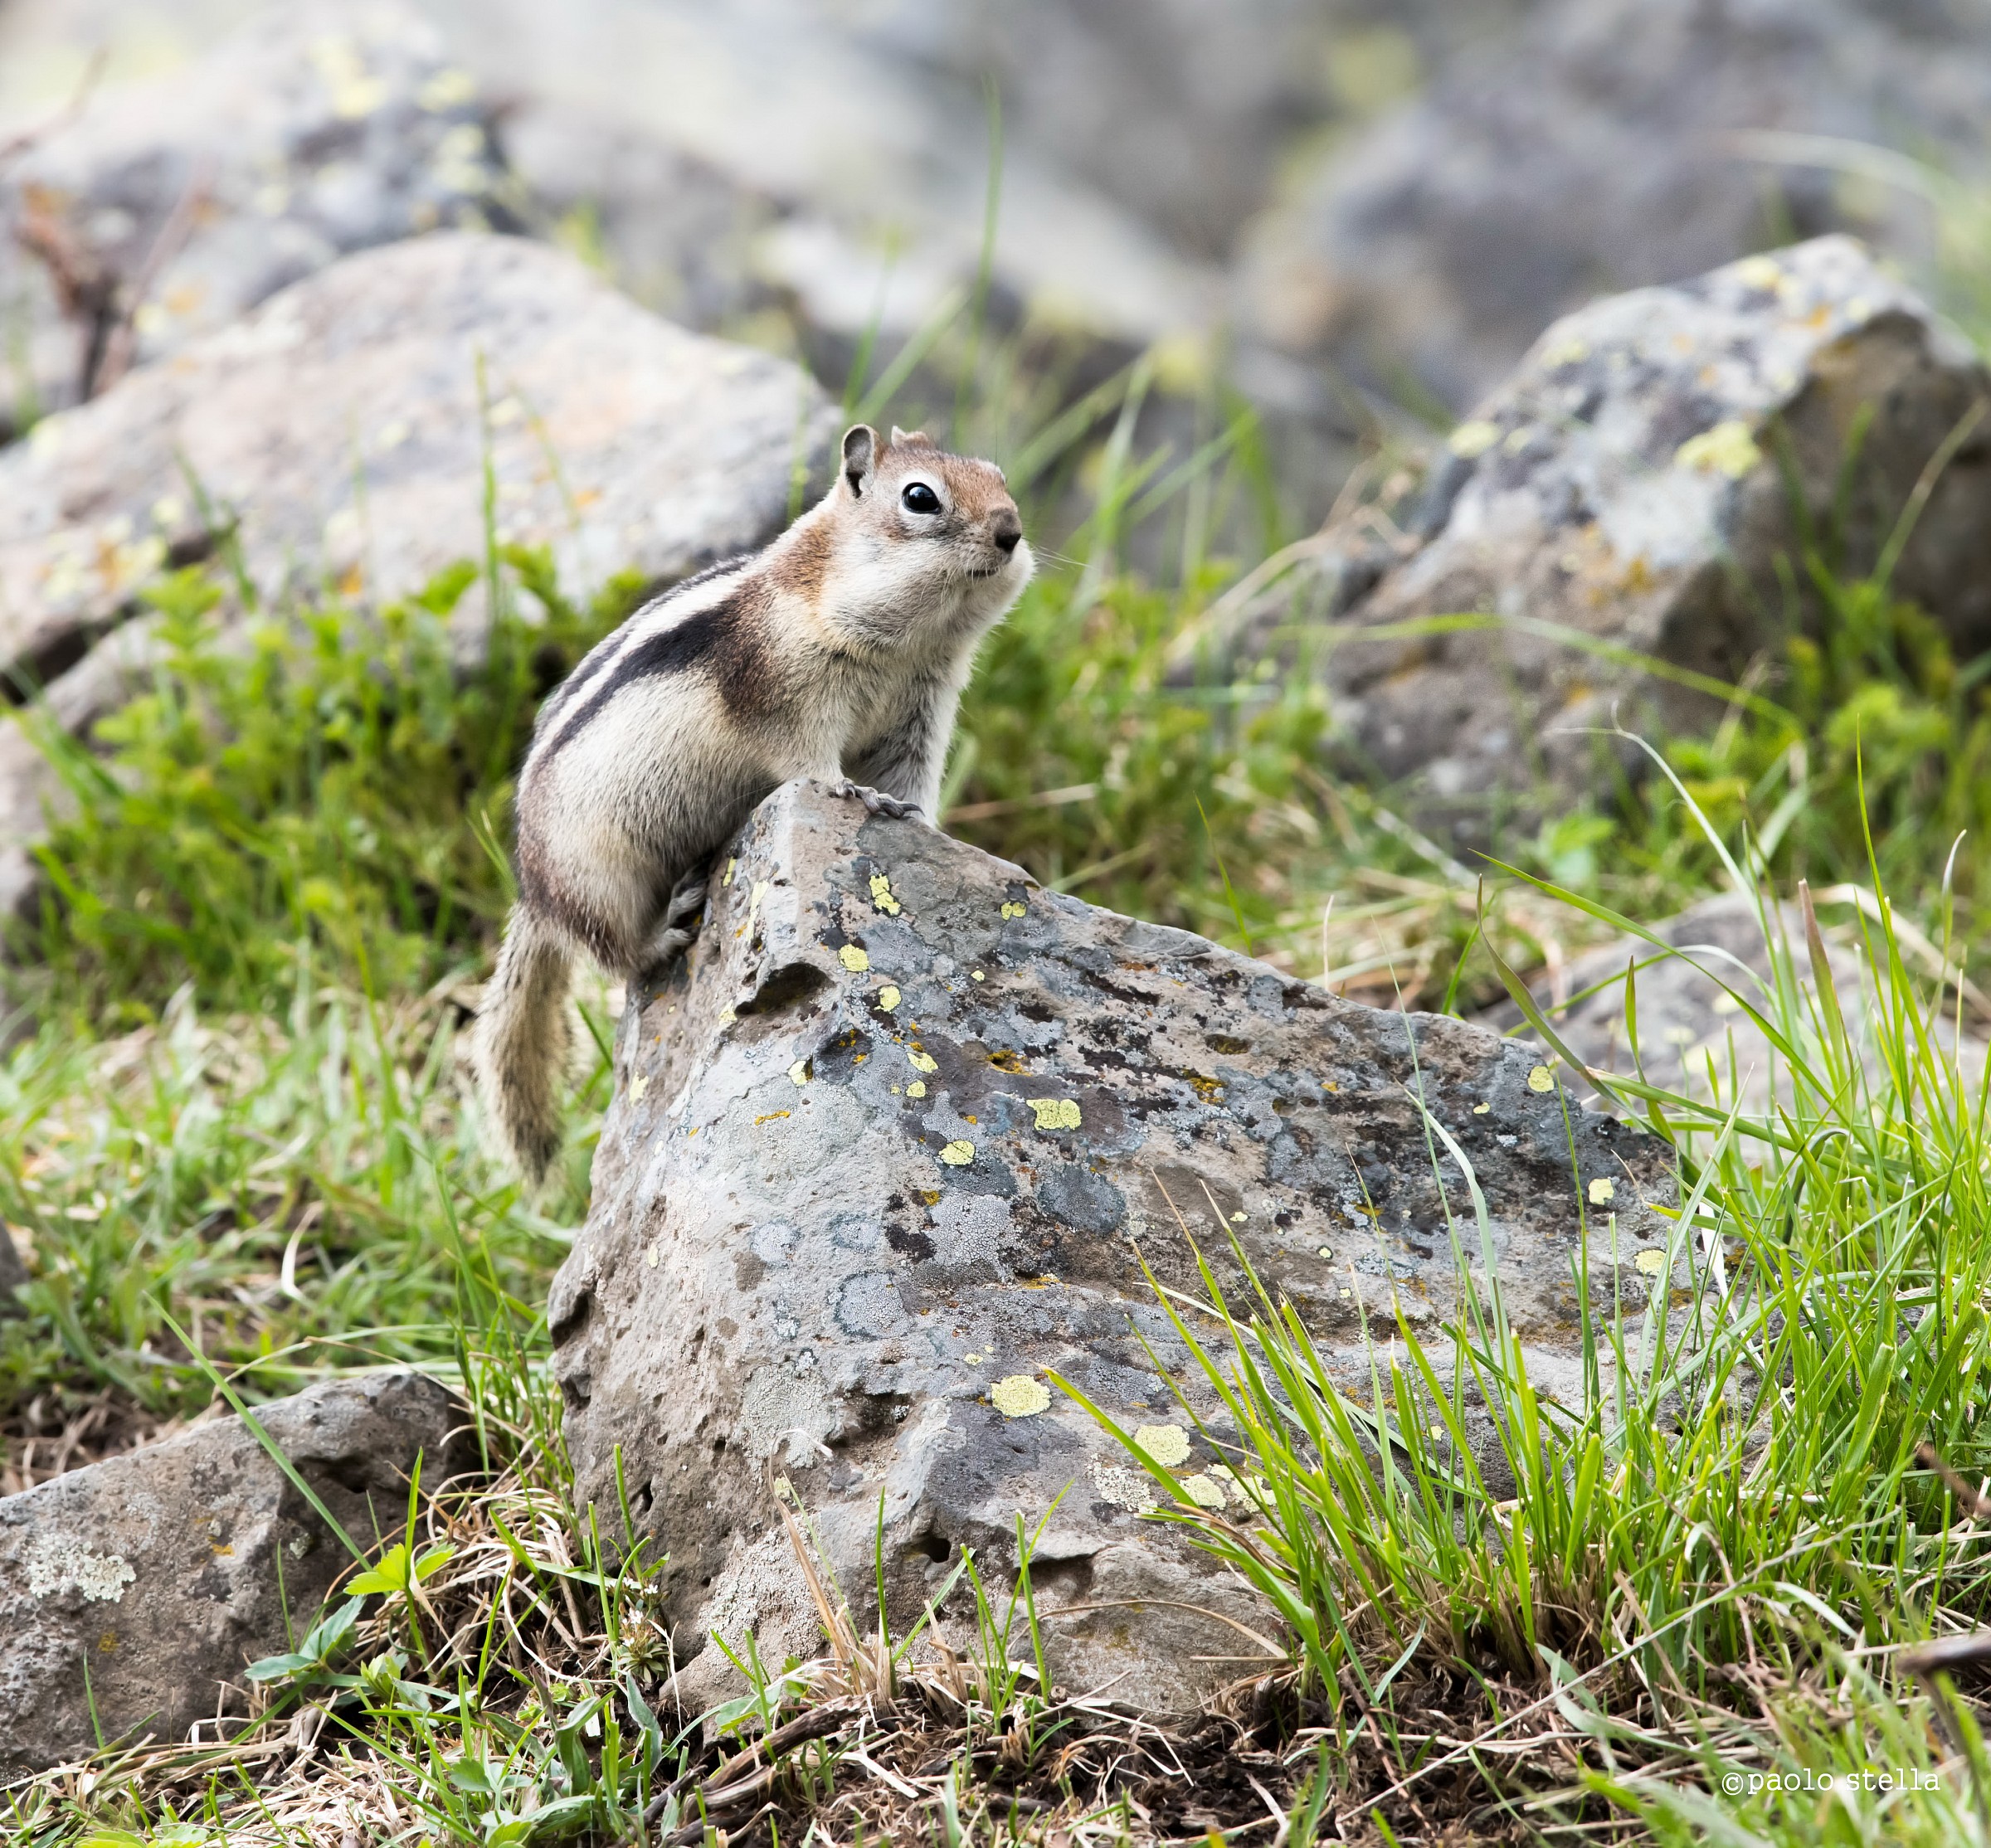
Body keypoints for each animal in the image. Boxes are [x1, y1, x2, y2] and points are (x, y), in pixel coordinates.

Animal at [472, 422, 1033, 1183]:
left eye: (998, 475)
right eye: (920, 498)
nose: (1011, 530)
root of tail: (532, 892)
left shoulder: (923, 708)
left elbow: (912, 779)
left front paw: (924, 823)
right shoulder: (791, 697)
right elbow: (808, 761)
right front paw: (853, 792)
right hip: (600, 877)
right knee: (617, 952)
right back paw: (665, 927)